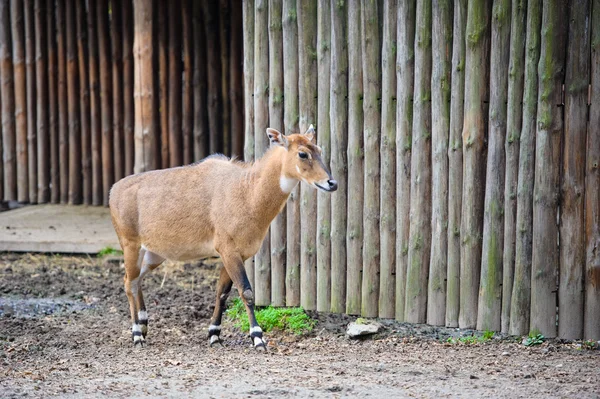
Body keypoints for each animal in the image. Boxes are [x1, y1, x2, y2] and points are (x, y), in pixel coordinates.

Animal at [109, 126, 338, 348]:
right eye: (302, 153)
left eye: (319, 149)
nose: (332, 183)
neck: (247, 190)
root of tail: (113, 191)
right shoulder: (228, 250)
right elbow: (246, 292)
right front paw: (258, 338)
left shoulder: (237, 254)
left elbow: (222, 292)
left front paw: (215, 335)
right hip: (131, 245)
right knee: (129, 282)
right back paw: (137, 334)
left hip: (154, 254)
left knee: (135, 279)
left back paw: (143, 324)